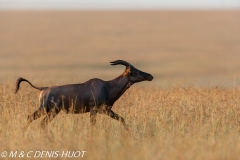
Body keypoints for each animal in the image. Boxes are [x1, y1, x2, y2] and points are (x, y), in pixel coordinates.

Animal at [15, 59, 154, 131]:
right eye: (134, 71)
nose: (150, 76)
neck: (107, 86)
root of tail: (44, 89)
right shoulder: (94, 110)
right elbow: (92, 125)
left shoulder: (105, 110)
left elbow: (122, 119)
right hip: (45, 109)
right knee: (30, 117)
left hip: (53, 112)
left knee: (42, 123)